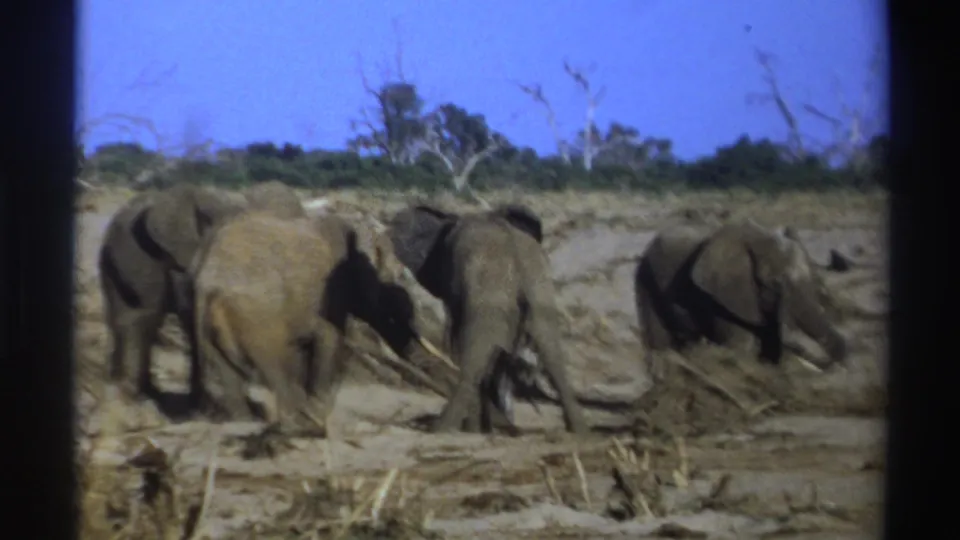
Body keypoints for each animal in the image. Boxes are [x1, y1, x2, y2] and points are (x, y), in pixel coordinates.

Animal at [386, 203, 588, 436]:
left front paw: (476, 428)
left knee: (475, 361)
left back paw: (446, 429)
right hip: (539, 295)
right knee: (552, 356)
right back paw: (580, 432)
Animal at [633, 219, 847, 382]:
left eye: (815, 280)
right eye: (776, 283)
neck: (760, 240)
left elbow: (769, 345)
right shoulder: (726, 295)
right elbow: (740, 346)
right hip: (645, 279)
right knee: (659, 342)